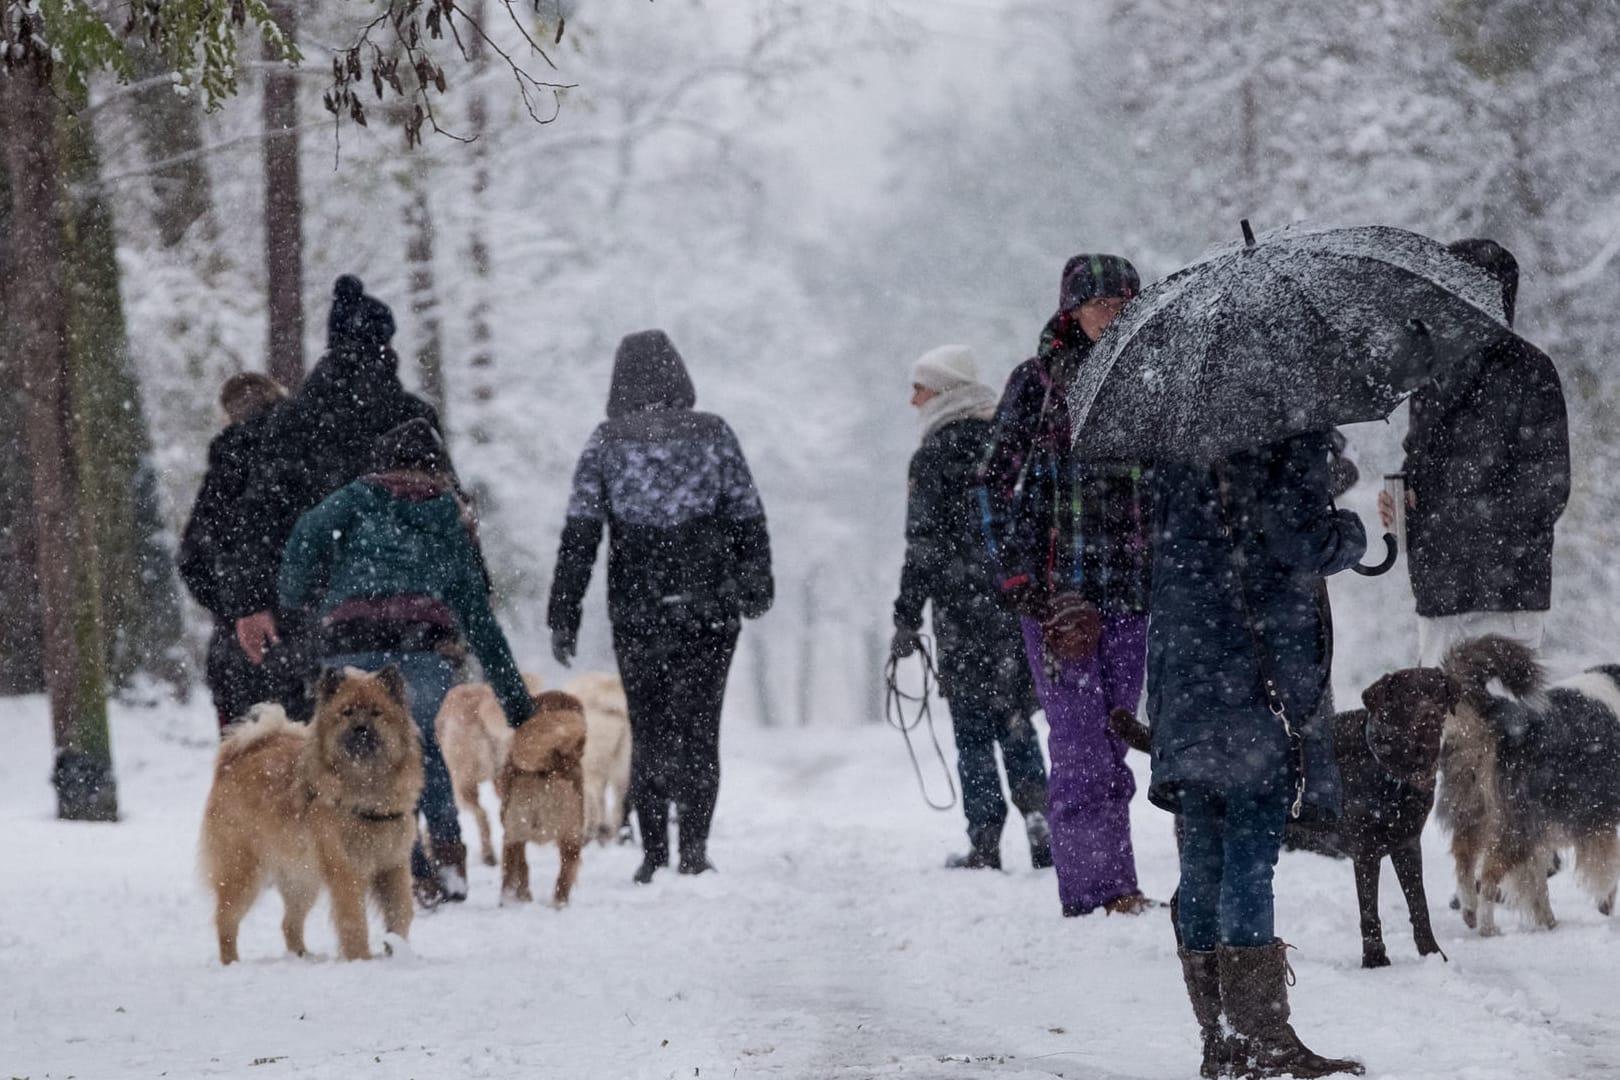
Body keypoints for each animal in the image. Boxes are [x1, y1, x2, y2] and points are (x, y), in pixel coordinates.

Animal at [196, 670, 427, 965]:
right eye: (347, 712)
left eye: (377, 713)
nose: (361, 729)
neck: (366, 787)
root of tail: (232, 761)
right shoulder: (345, 869)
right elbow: (354, 921)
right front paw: (361, 959)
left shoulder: (393, 864)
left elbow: (401, 912)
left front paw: (397, 951)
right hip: (242, 871)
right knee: (226, 920)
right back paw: (232, 963)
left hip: (302, 878)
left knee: (288, 923)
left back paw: (302, 957)